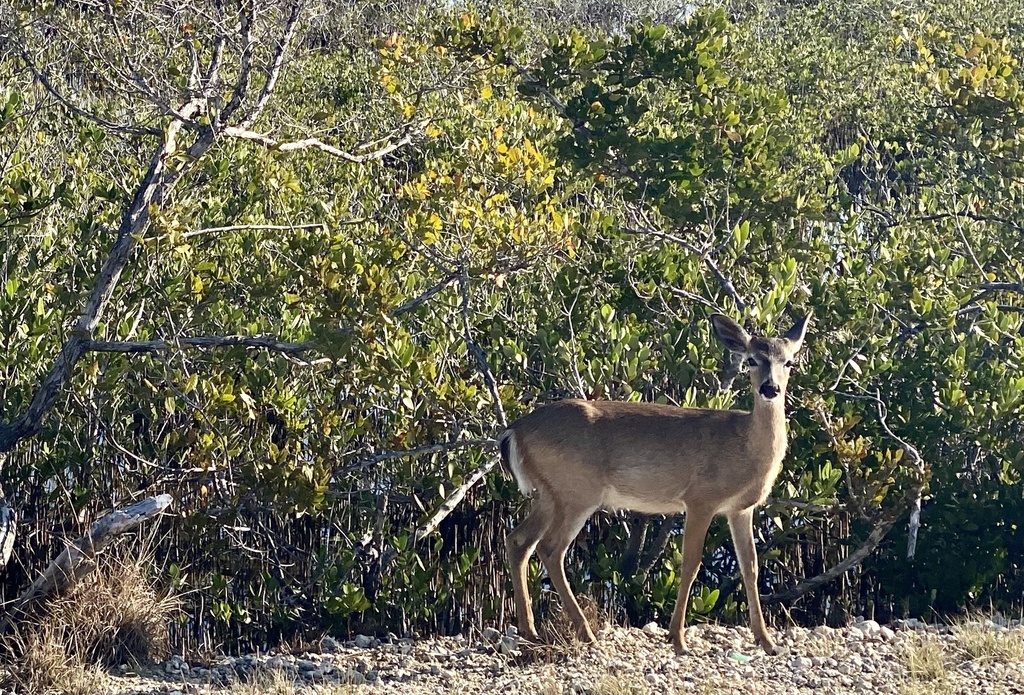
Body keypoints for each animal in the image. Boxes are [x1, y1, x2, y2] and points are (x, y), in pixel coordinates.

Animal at [499, 311, 810, 656]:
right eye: (752, 360)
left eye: (789, 362)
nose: (770, 388)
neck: (744, 447)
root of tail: (514, 430)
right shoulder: (700, 498)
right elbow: (691, 563)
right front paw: (678, 639)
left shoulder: (740, 509)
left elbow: (750, 566)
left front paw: (767, 641)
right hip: (576, 491)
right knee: (551, 548)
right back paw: (585, 633)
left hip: (549, 494)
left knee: (519, 540)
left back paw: (530, 631)